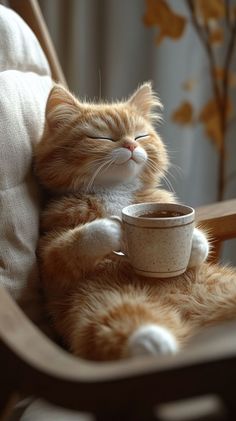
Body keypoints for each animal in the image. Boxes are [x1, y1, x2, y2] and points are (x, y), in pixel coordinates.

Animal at [35, 83, 236, 360]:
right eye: (102, 138)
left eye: (140, 136)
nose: (130, 145)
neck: (116, 191)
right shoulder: (50, 259)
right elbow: (70, 245)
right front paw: (112, 228)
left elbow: (200, 246)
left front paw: (194, 242)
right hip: (99, 300)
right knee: (120, 324)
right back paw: (156, 343)